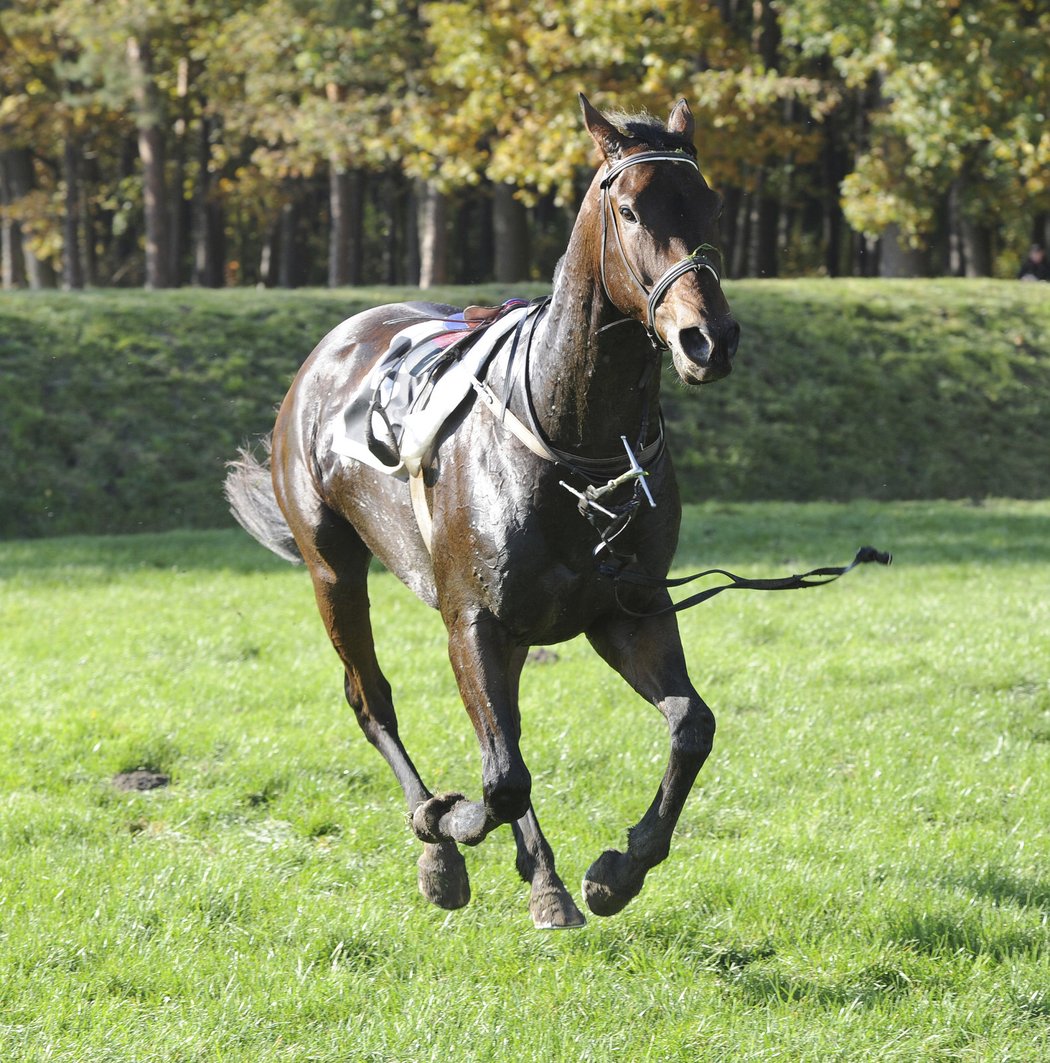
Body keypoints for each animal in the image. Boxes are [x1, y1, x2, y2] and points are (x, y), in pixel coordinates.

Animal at [226, 95, 743, 926]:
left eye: (710, 204)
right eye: (630, 209)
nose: (708, 338)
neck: (576, 441)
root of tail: (328, 351)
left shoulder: (625, 611)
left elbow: (690, 726)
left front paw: (618, 867)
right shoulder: (471, 619)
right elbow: (499, 778)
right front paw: (447, 825)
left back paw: (546, 878)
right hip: (332, 567)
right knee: (374, 701)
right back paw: (439, 840)